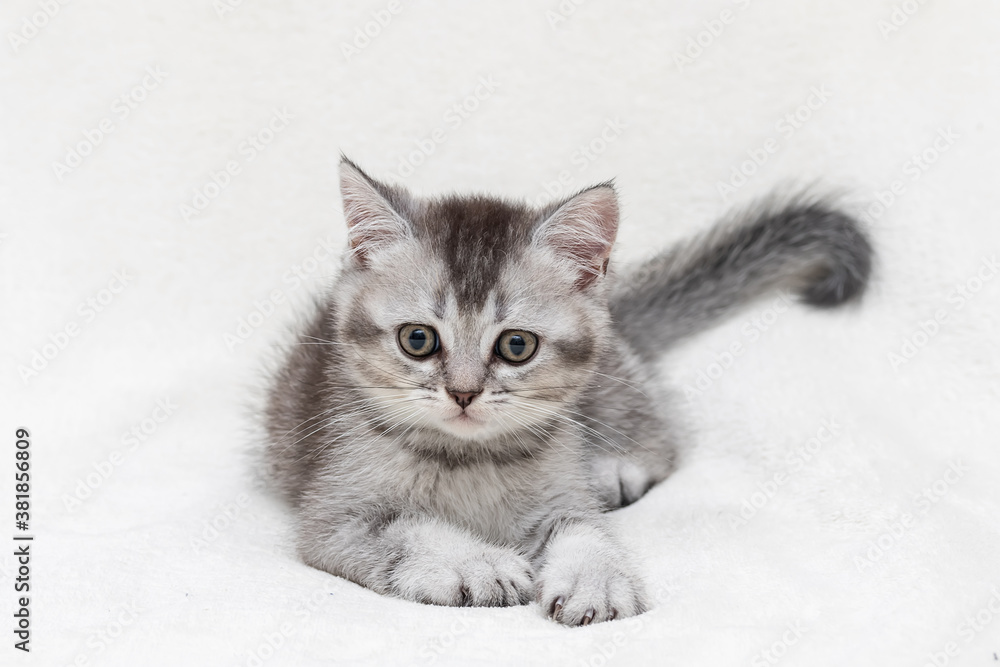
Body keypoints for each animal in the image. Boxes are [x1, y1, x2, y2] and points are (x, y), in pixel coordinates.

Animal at [262, 158, 872, 628]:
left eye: (516, 346)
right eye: (418, 340)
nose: (463, 392)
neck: (470, 460)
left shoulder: (562, 492)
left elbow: (584, 530)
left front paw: (594, 581)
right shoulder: (334, 516)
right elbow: (408, 532)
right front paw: (475, 564)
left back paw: (614, 467)